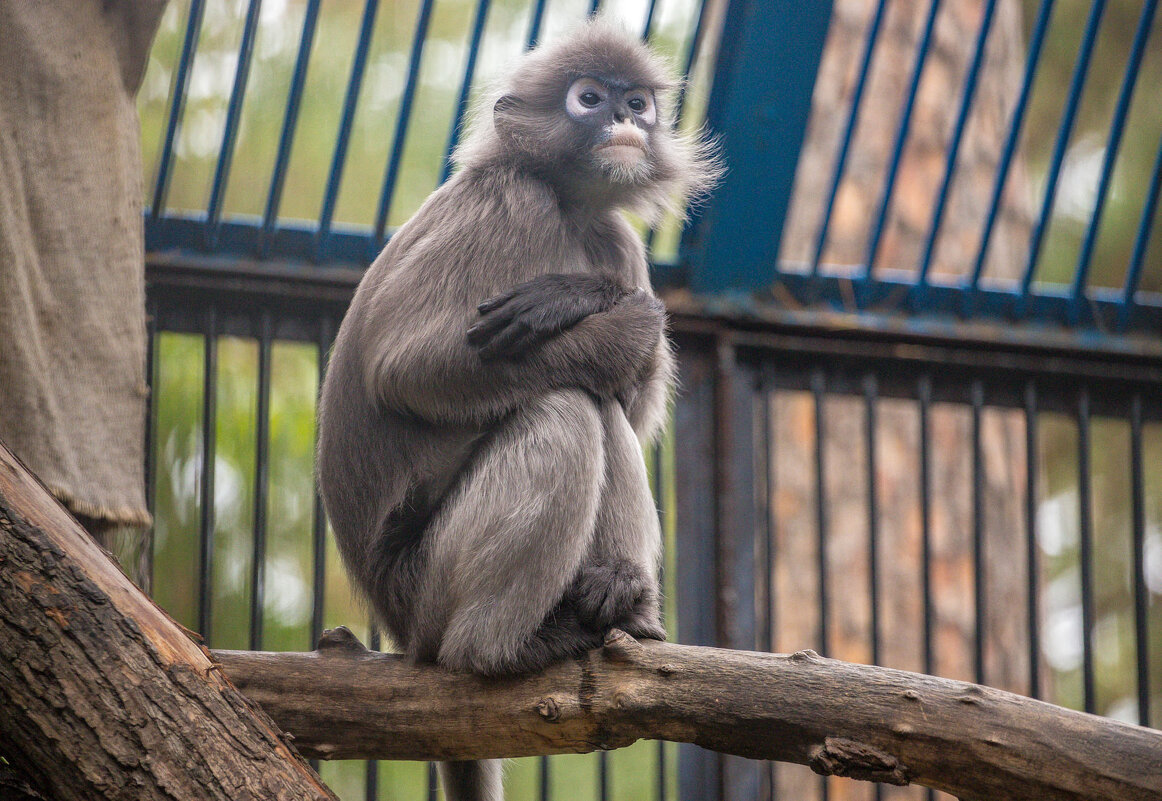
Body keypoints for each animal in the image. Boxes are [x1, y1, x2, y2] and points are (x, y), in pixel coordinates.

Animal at [318, 20, 715, 799]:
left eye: (637, 102)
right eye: (589, 98)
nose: (624, 118)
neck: (566, 206)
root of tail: (399, 625)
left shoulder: (616, 242)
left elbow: (633, 405)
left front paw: (580, 297)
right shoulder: (508, 199)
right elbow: (403, 368)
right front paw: (600, 309)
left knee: (599, 406)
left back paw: (620, 598)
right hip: (428, 587)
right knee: (564, 406)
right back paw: (496, 650)